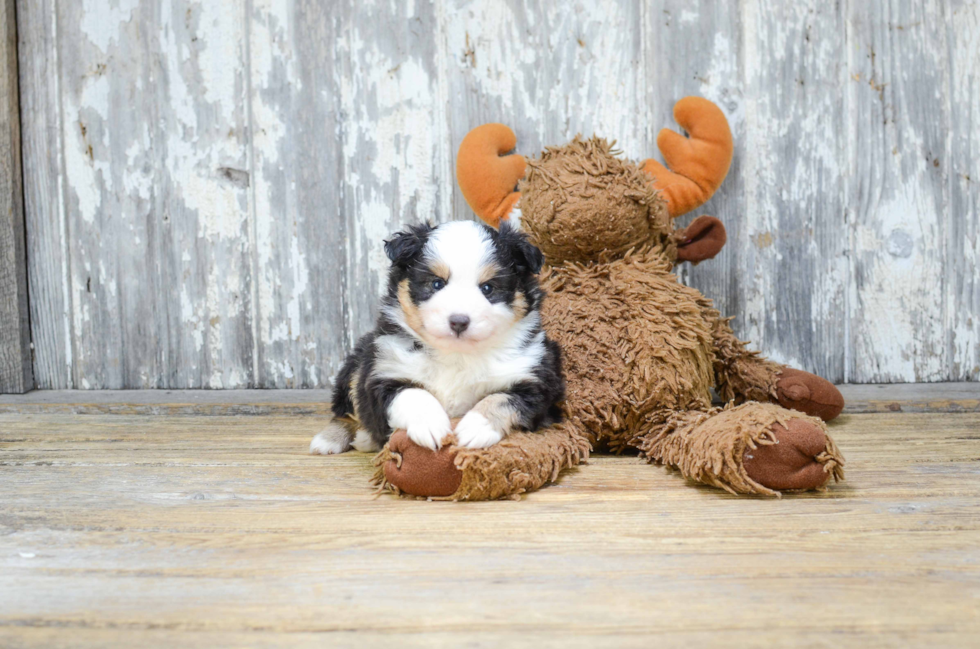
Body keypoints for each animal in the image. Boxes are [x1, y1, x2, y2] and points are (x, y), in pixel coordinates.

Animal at [310, 220, 564, 454]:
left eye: (488, 288)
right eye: (436, 283)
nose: (459, 321)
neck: (457, 355)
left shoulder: (538, 381)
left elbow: (502, 398)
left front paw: (476, 427)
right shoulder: (382, 374)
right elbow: (414, 393)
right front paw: (430, 426)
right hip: (356, 364)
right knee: (345, 411)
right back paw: (331, 440)